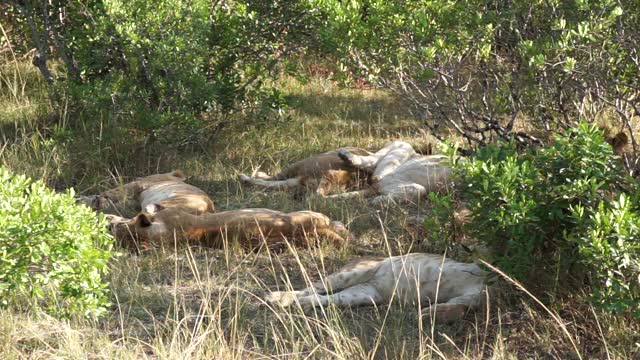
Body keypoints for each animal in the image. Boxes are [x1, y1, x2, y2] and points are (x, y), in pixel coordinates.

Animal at [264, 253, 484, 324]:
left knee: (323, 298)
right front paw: (427, 314)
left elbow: (463, 305)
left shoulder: (474, 295)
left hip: (362, 294)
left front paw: (431, 314)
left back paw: (301, 305)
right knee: (312, 288)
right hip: (354, 272)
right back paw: (278, 297)